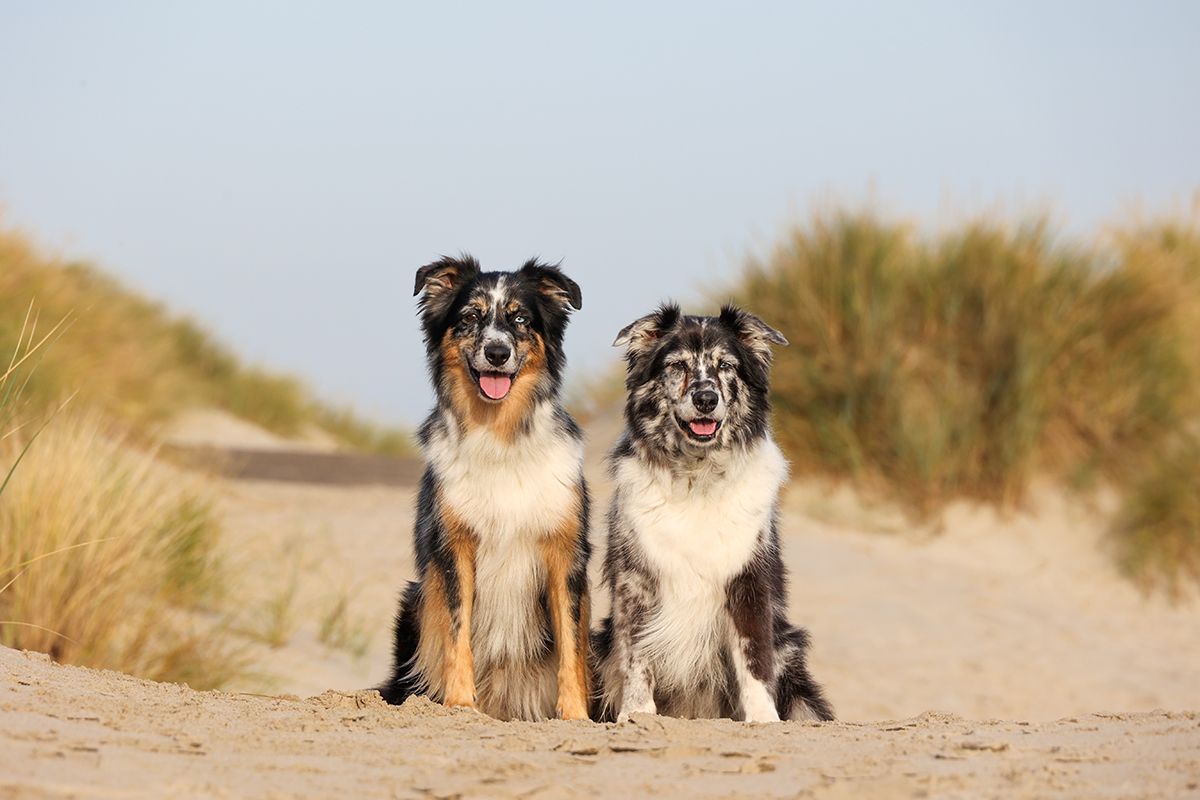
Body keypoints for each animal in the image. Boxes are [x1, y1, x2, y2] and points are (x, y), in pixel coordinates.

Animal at [379, 257, 590, 724]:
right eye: (470, 318)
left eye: (520, 319)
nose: (497, 353)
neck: (500, 433)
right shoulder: (453, 547)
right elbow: (458, 631)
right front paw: (459, 702)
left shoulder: (564, 551)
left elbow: (572, 643)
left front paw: (575, 713)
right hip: (414, 600)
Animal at [592, 303, 835, 724]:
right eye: (677, 365)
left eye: (726, 366)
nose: (706, 398)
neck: (697, 479)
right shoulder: (635, 581)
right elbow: (638, 654)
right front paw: (637, 713)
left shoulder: (748, 578)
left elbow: (754, 657)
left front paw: (763, 718)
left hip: (789, 645)